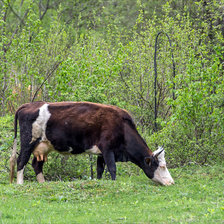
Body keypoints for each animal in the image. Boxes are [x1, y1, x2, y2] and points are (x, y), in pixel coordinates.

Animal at [9, 101, 174, 186]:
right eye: (161, 166)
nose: (171, 182)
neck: (122, 126)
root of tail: (28, 105)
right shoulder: (108, 149)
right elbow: (112, 169)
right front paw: (114, 183)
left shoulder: (101, 153)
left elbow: (100, 169)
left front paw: (99, 182)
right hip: (28, 142)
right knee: (21, 161)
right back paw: (20, 184)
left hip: (43, 146)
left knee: (36, 165)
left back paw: (43, 184)